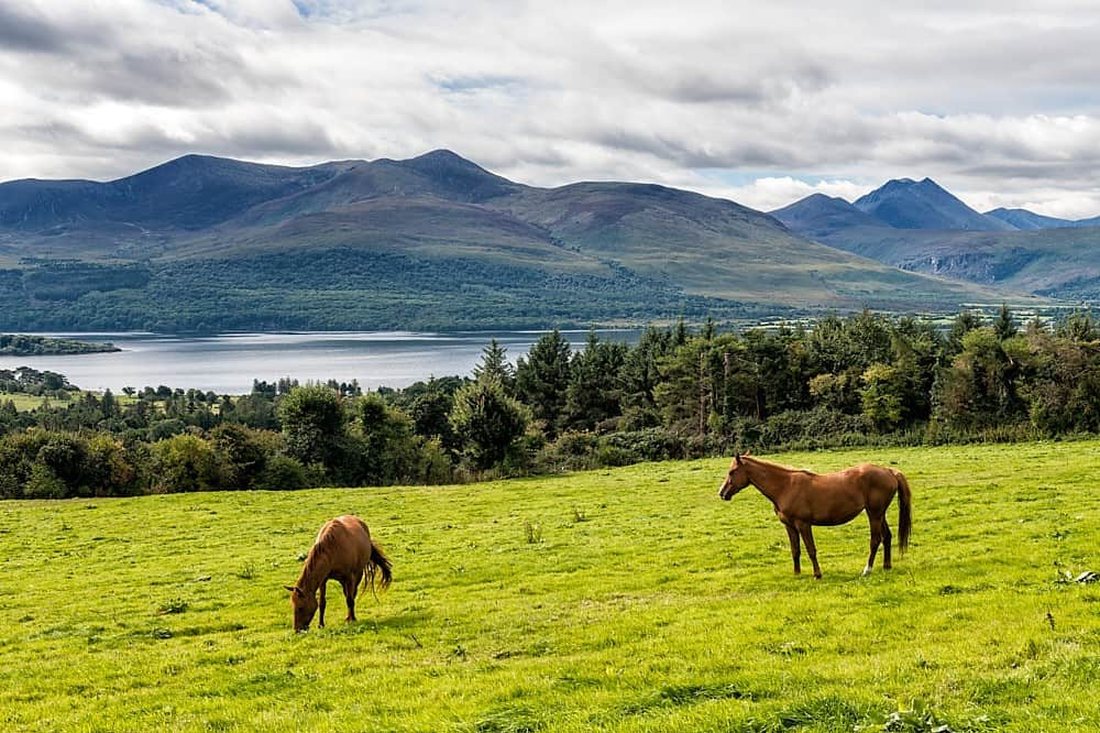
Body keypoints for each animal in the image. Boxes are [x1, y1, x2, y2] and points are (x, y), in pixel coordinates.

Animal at [718, 452, 911, 578]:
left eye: (732, 472)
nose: (722, 493)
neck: (785, 486)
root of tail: (889, 471)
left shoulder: (803, 524)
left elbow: (811, 550)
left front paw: (817, 574)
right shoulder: (789, 526)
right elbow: (795, 550)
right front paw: (797, 574)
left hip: (874, 514)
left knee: (875, 540)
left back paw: (867, 570)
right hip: (879, 514)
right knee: (887, 536)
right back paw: (886, 566)